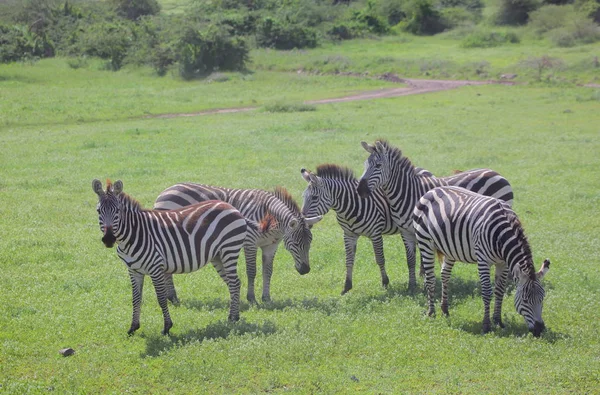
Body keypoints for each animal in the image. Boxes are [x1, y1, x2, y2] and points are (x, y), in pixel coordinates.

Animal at [93, 180, 251, 338]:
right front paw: (133, 327)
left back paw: (233, 318)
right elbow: (136, 299)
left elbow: (161, 298)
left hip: (229, 249)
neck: (133, 236)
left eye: (118, 210)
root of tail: (230, 207)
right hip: (218, 256)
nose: (108, 239)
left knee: (234, 282)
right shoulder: (133, 270)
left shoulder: (155, 268)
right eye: (98, 211)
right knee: (233, 283)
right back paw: (234, 316)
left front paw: (167, 327)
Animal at [155, 184, 324, 304]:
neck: (270, 219)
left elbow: (268, 271)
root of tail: (166, 190)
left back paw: (171, 297)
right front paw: (252, 298)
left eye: (310, 243)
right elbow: (252, 271)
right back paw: (173, 298)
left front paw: (266, 298)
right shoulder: (250, 242)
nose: (305, 270)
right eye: (295, 243)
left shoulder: (271, 246)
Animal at [356, 141, 516, 290]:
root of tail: (496, 173)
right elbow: (410, 259)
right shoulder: (405, 231)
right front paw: (412, 285)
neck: (407, 193)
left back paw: (506, 280)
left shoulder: (422, 230)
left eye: (378, 165)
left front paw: (425, 283)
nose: (360, 190)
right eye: (365, 165)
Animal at [412, 187, 548, 336]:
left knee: (445, 275)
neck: (501, 234)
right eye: (525, 300)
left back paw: (445, 310)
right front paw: (486, 325)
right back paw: (431, 312)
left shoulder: (503, 263)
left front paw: (498, 321)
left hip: (450, 249)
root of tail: (432, 190)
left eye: (542, 298)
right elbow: (487, 292)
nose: (540, 329)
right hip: (425, 242)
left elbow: (500, 290)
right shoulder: (483, 260)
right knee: (430, 279)